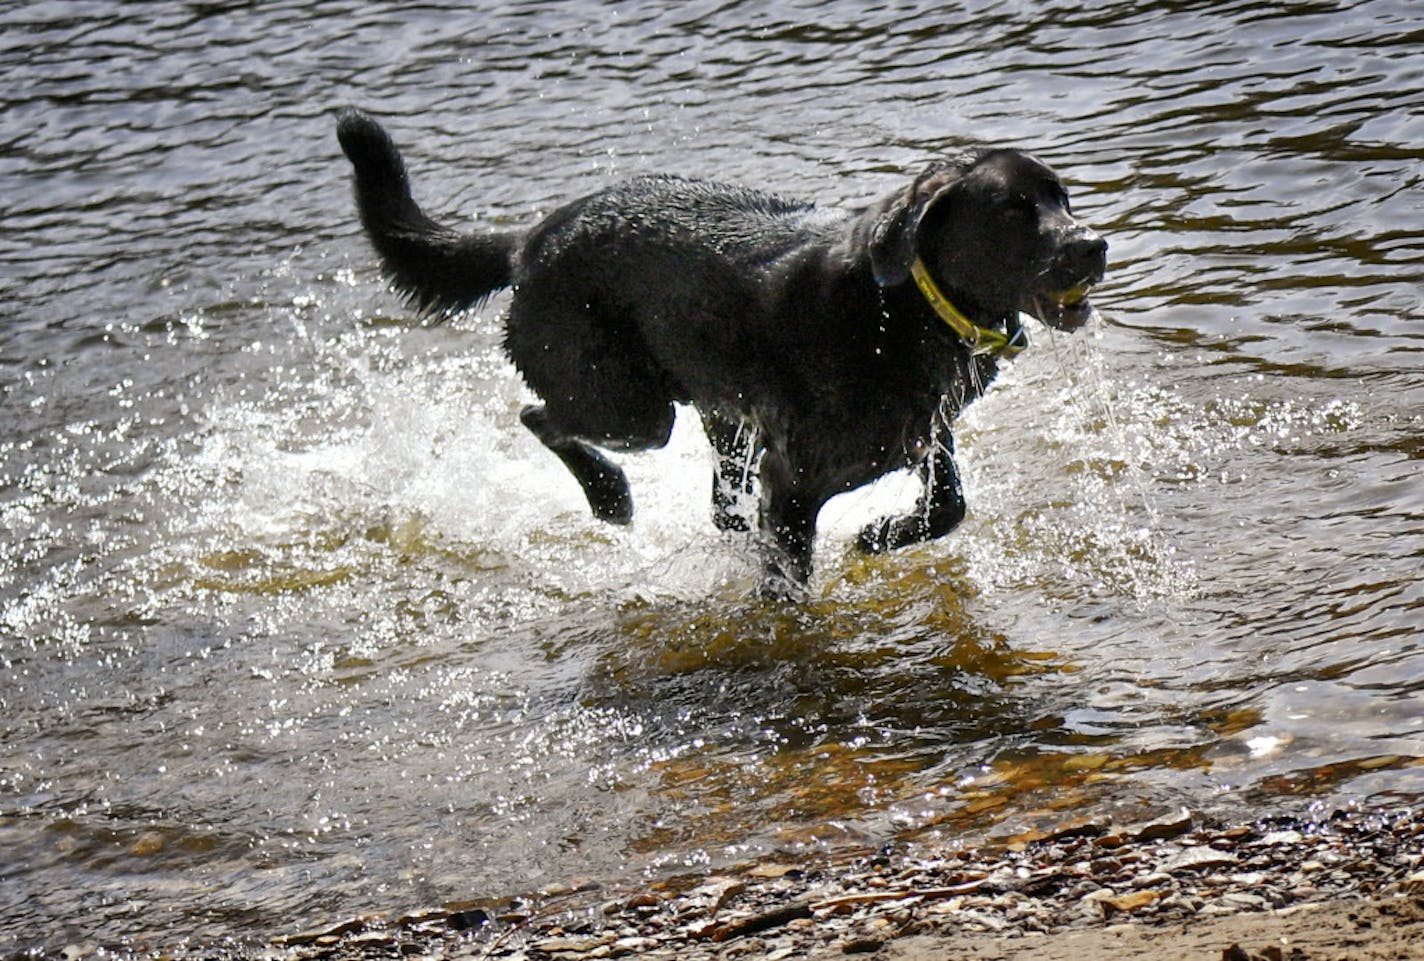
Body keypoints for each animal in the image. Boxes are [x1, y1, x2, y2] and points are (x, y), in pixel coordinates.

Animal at [338, 107, 1105, 595]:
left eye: (1064, 198)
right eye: (1013, 211)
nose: (1094, 244)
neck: (903, 310)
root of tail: (528, 242)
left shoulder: (922, 429)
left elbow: (949, 504)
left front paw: (877, 536)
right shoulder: (792, 484)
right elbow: (789, 587)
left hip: (718, 413)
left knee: (717, 506)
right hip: (631, 407)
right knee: (541, 417)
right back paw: (609, 496)